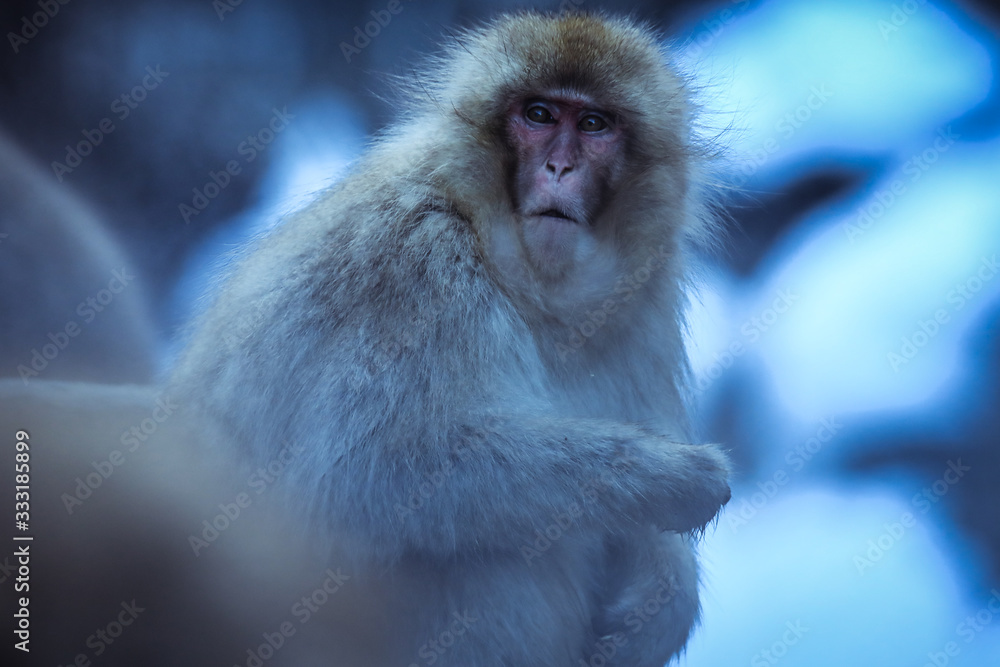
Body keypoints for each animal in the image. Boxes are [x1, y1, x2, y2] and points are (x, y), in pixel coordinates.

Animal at [171, 11, 730, 667]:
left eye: (593, 124)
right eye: (538, 114)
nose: (559, 169)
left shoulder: (642, 305)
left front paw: (665, 592)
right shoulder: (417, 262)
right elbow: (374, 470)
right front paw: (667, 478)